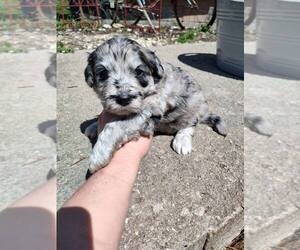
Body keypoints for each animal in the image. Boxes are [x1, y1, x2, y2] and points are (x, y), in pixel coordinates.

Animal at [83, 37, 226, 174]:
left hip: (192, 109)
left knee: (190, 125)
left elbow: (113, 126)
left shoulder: (149, 111)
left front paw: (98, 155)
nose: (124, 99)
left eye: (139, 72)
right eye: (103, 74)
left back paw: (182, 141)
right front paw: (94, 125)